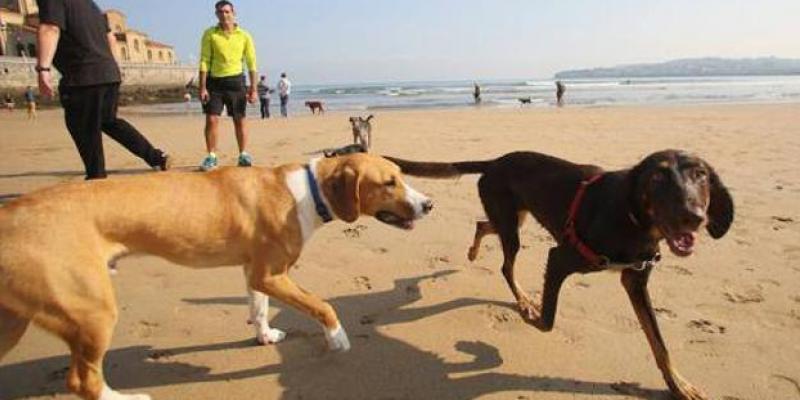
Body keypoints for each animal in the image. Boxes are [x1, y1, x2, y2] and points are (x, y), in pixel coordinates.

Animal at [0, 153, 434, 400]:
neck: (306, 191)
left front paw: (264, 336)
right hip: (93, 312)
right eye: (388, 183)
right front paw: (337, 337)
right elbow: (321, 304)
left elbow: (258, 309)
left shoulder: (254, 274)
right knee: (84, 382)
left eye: (402, 175)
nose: (429, 204)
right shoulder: (271, 275)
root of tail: (11, 215)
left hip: (14, 322)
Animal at [384, 150, 736, 400]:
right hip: (511, 227)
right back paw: (523, 300)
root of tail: (495, 162)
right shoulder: (559, 259)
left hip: (514, 218)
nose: (693, 217)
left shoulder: (635, 281)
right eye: (657, 178)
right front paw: (528, 316)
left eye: (701, 175)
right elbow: (547, 321)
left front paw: (678, 385)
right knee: (505, 265)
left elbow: (659, 344)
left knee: (483, 225)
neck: (633, 221)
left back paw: (474, 253)